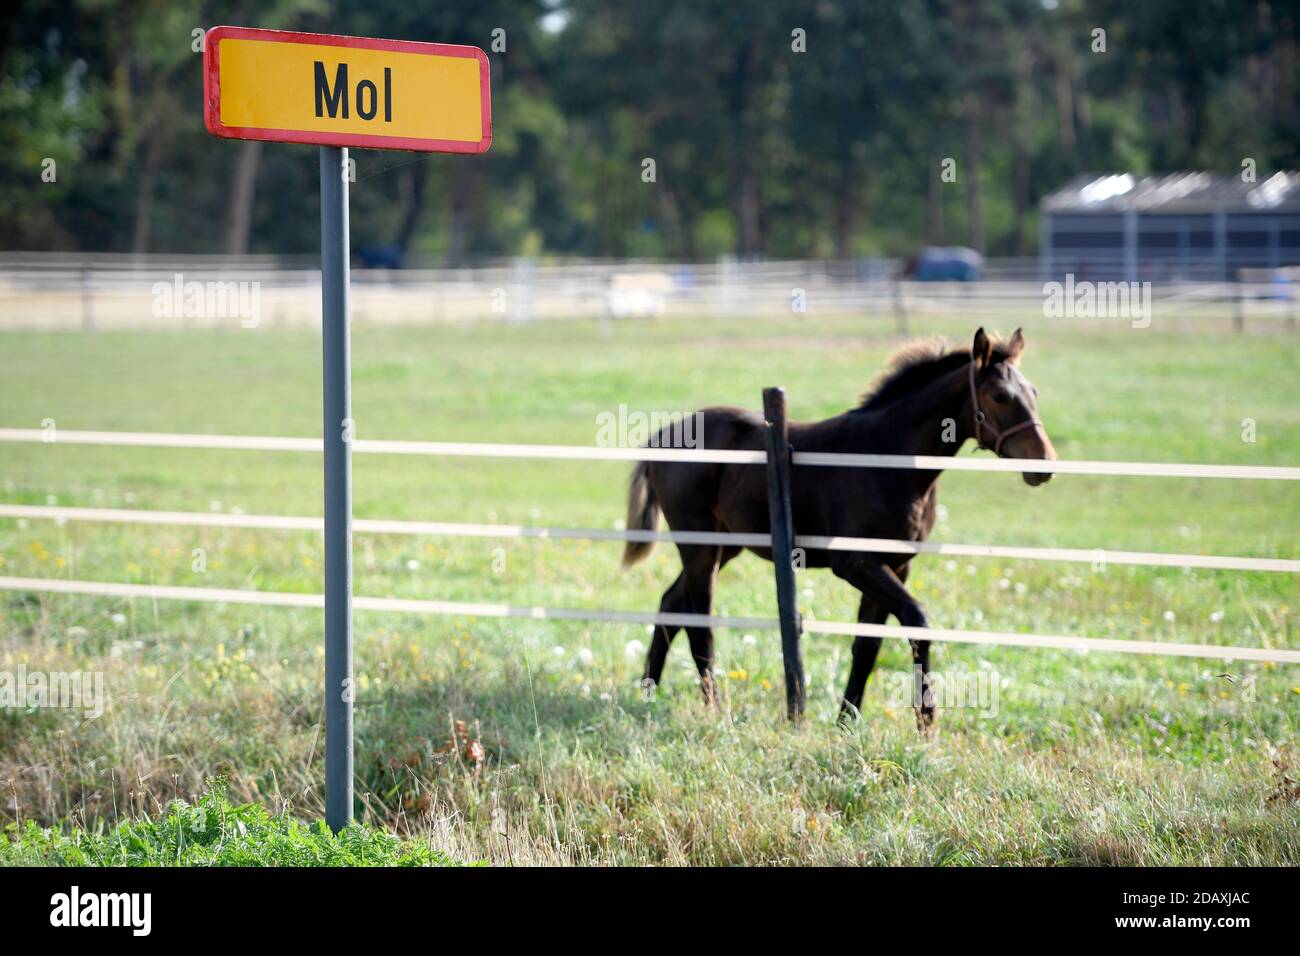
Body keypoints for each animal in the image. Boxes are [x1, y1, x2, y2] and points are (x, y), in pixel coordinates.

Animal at [618, 329, 1055, 723]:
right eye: (1000, 396)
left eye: (1034, 391)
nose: (1044, 465)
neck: (886, 458)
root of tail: (662, 435)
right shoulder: (856, 564)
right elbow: (917, 622)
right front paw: (926, 721)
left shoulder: (897, 565)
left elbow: (867, 646)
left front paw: (847, 720)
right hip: (700, 547)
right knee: (699, 623)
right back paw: (711, 709)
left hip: (726, 546)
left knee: (670, 605)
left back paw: (649, 694)